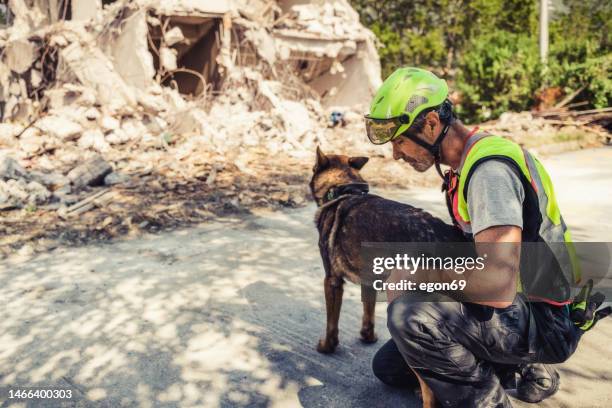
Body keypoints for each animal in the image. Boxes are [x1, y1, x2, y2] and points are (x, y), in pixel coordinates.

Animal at [308, 147, 466, 408]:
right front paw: (368, 336)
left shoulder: (331, 280)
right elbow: (368, 313)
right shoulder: (369, 280)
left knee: (430, 383)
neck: (343, 189)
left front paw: (327, 347)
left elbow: (332, 323)